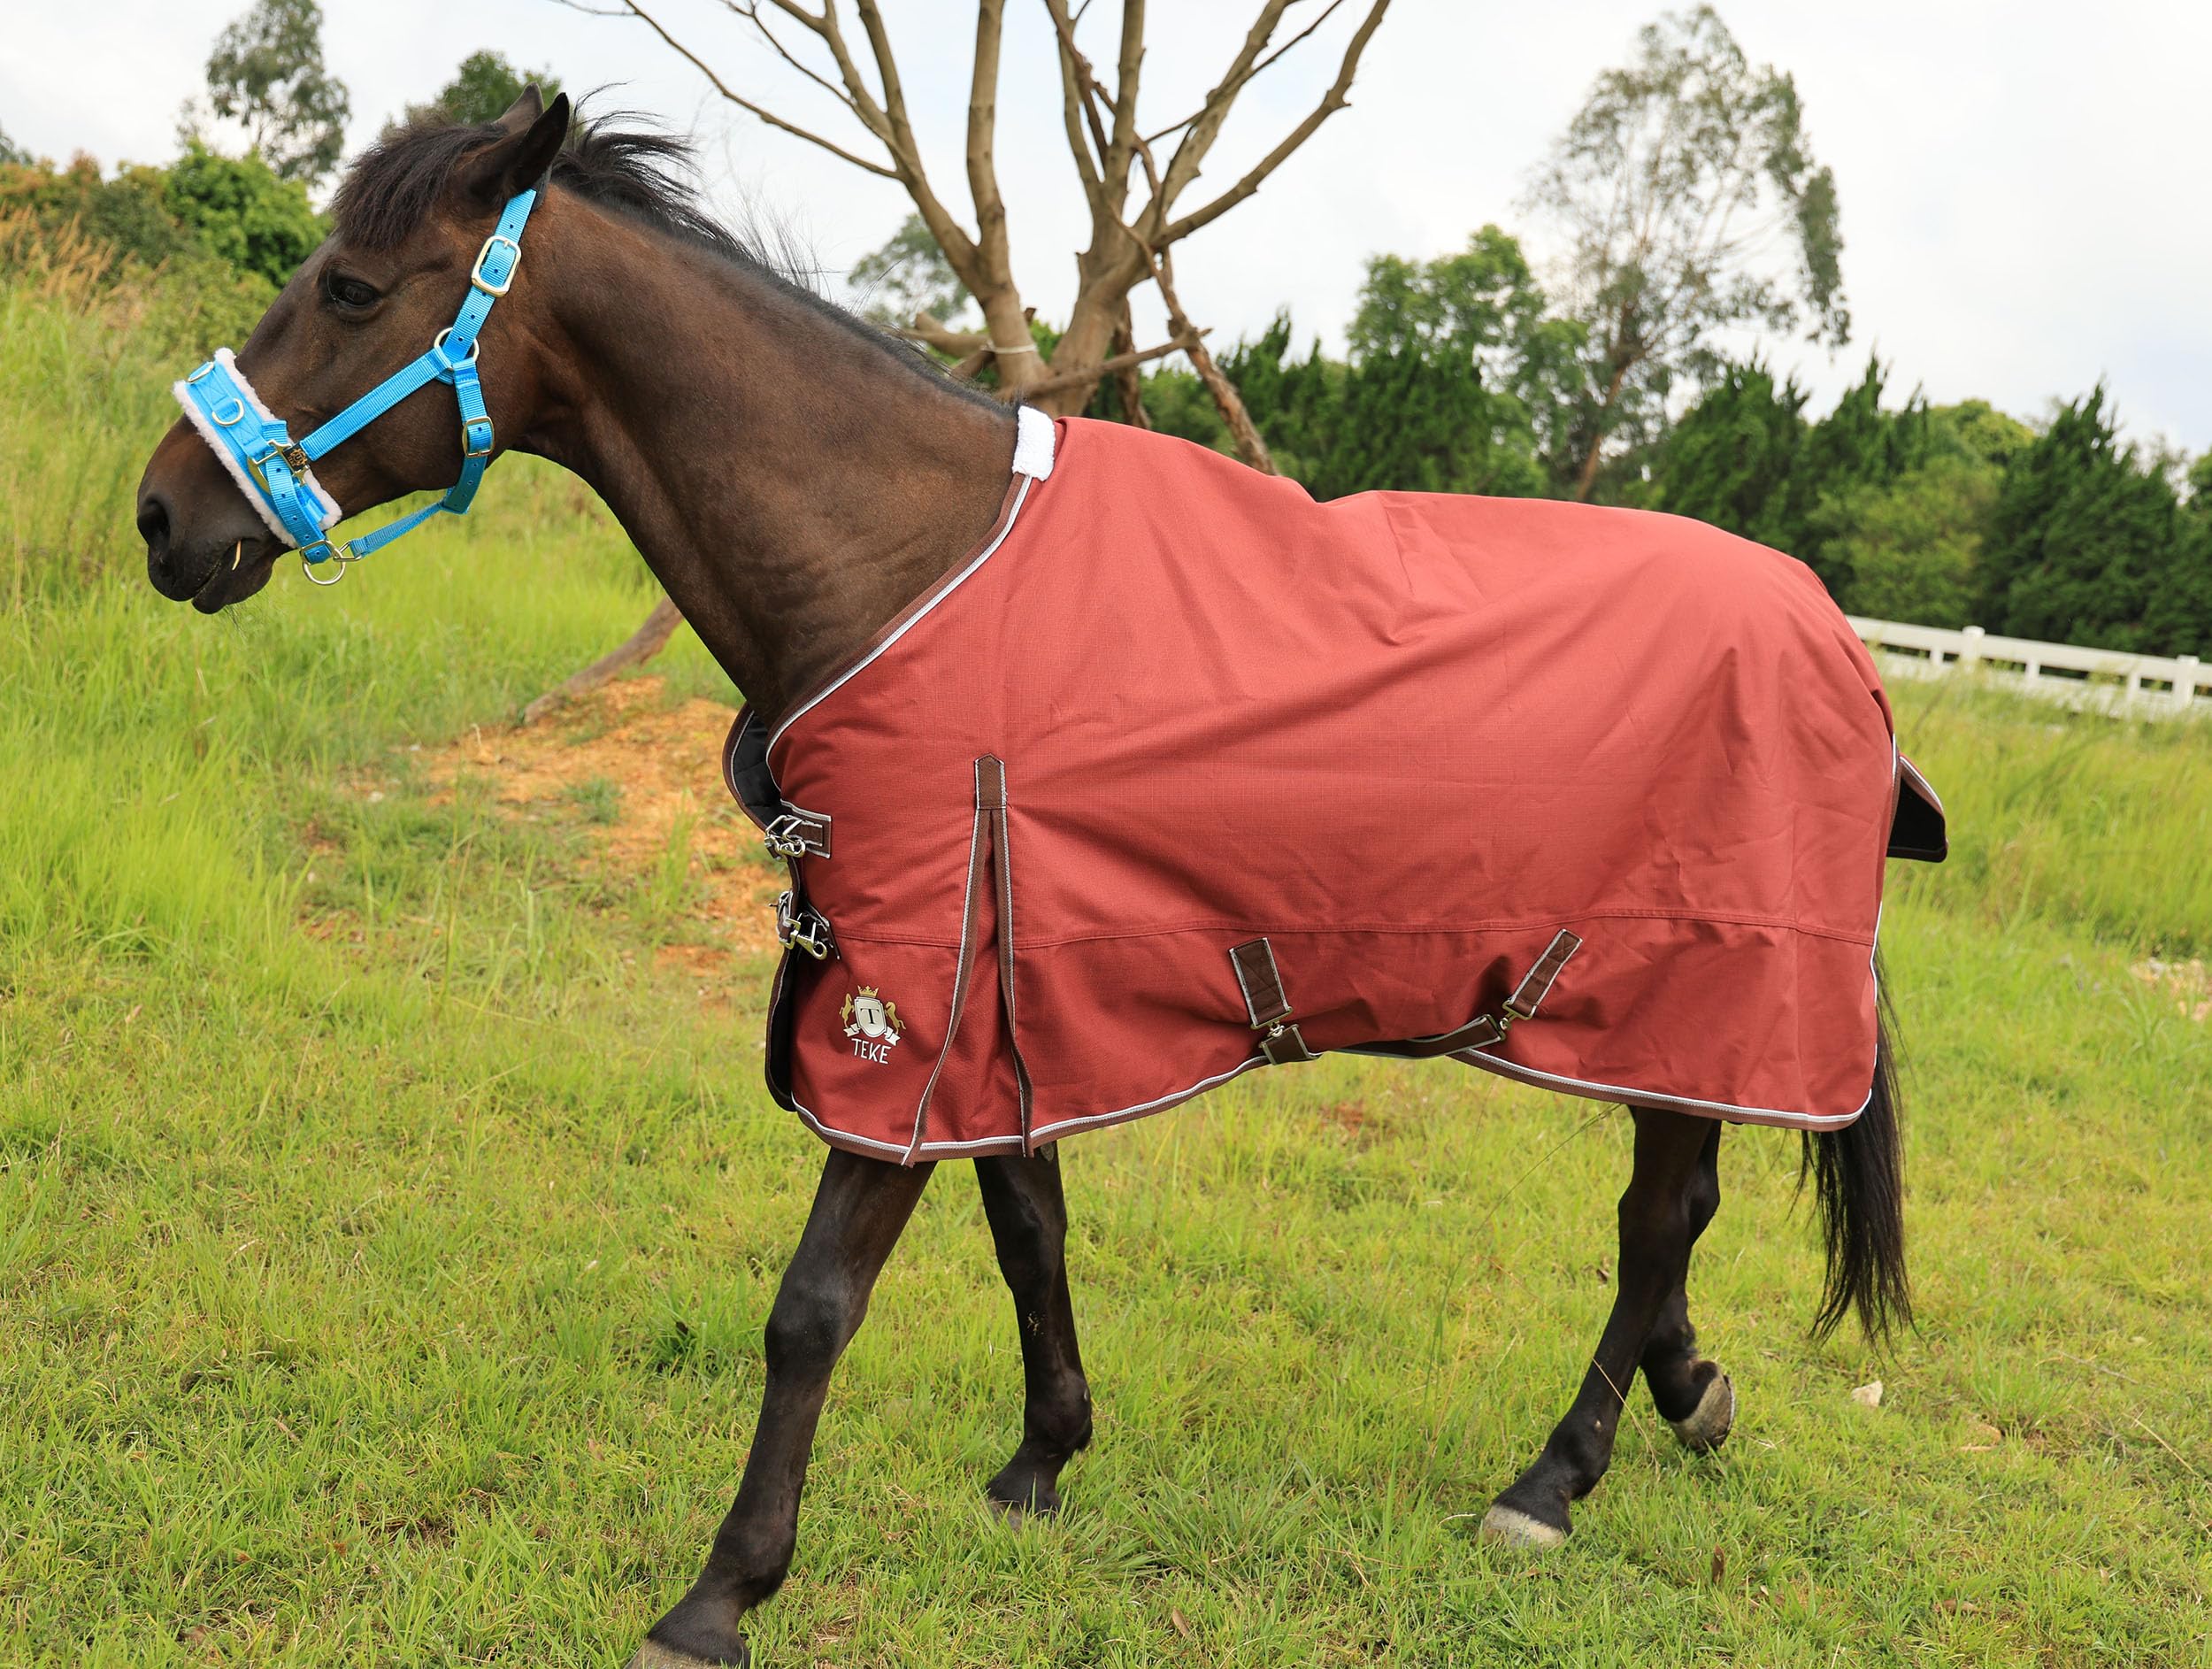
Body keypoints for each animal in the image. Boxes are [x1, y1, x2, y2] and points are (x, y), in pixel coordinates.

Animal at [134, 91, 1924, 1669]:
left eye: (353, 289)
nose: (164, 515)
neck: (903, 563)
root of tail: (1836, 634)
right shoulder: (997, 989)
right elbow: (1028, 1227)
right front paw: (1042, 1459)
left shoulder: (901, 1004)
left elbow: (813, 1304)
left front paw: (721, 1592)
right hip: (1674, 1013)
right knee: (1675, 1222)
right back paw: (1686, 1395)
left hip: (1695, 985)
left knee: (1657, 1218)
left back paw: (1551, 1481)